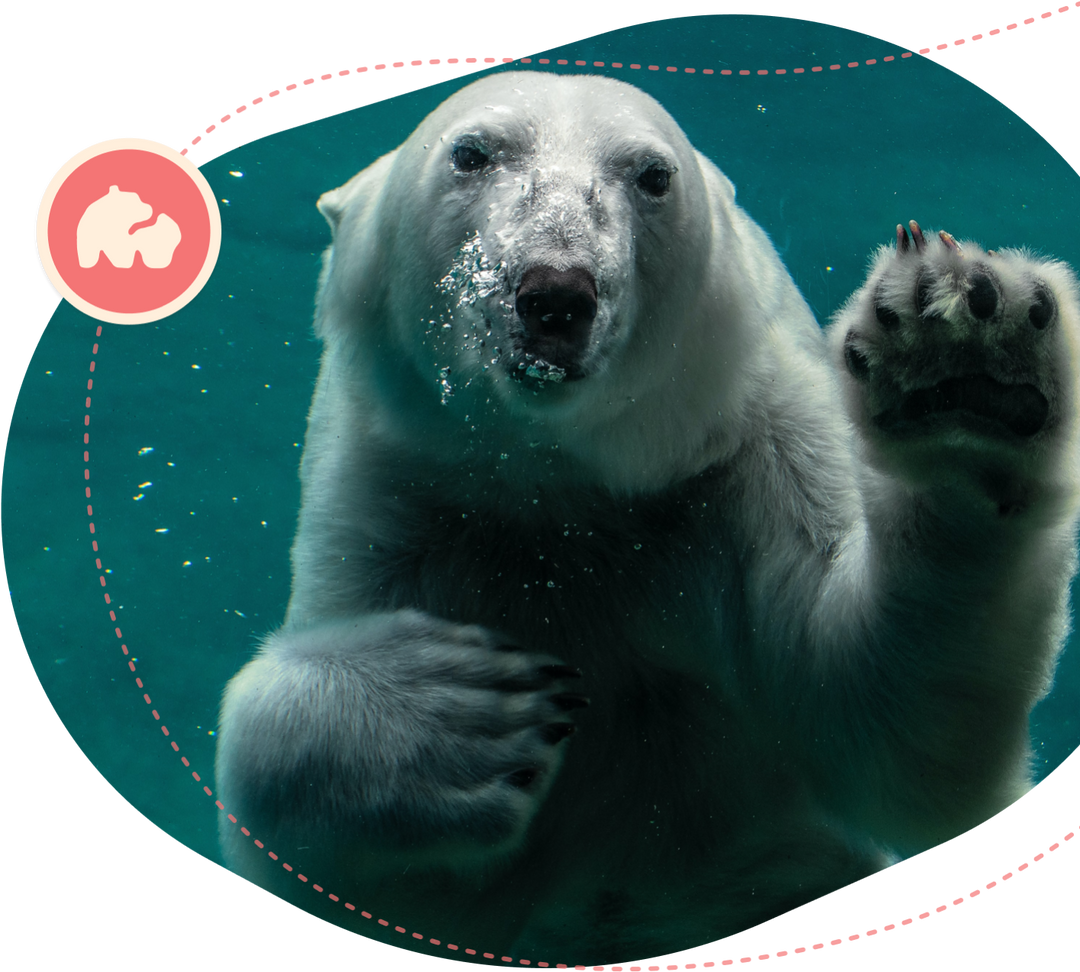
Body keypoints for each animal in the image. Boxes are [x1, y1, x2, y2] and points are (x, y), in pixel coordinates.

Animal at [215, 71, 1080, 964]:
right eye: (473, 152)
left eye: (652, 174)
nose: (556, 294)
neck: (564, 485)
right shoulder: (405, 497)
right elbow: (369, 876)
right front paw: (457, 710)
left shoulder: (745, 454)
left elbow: (883, 720)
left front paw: (965, 361)